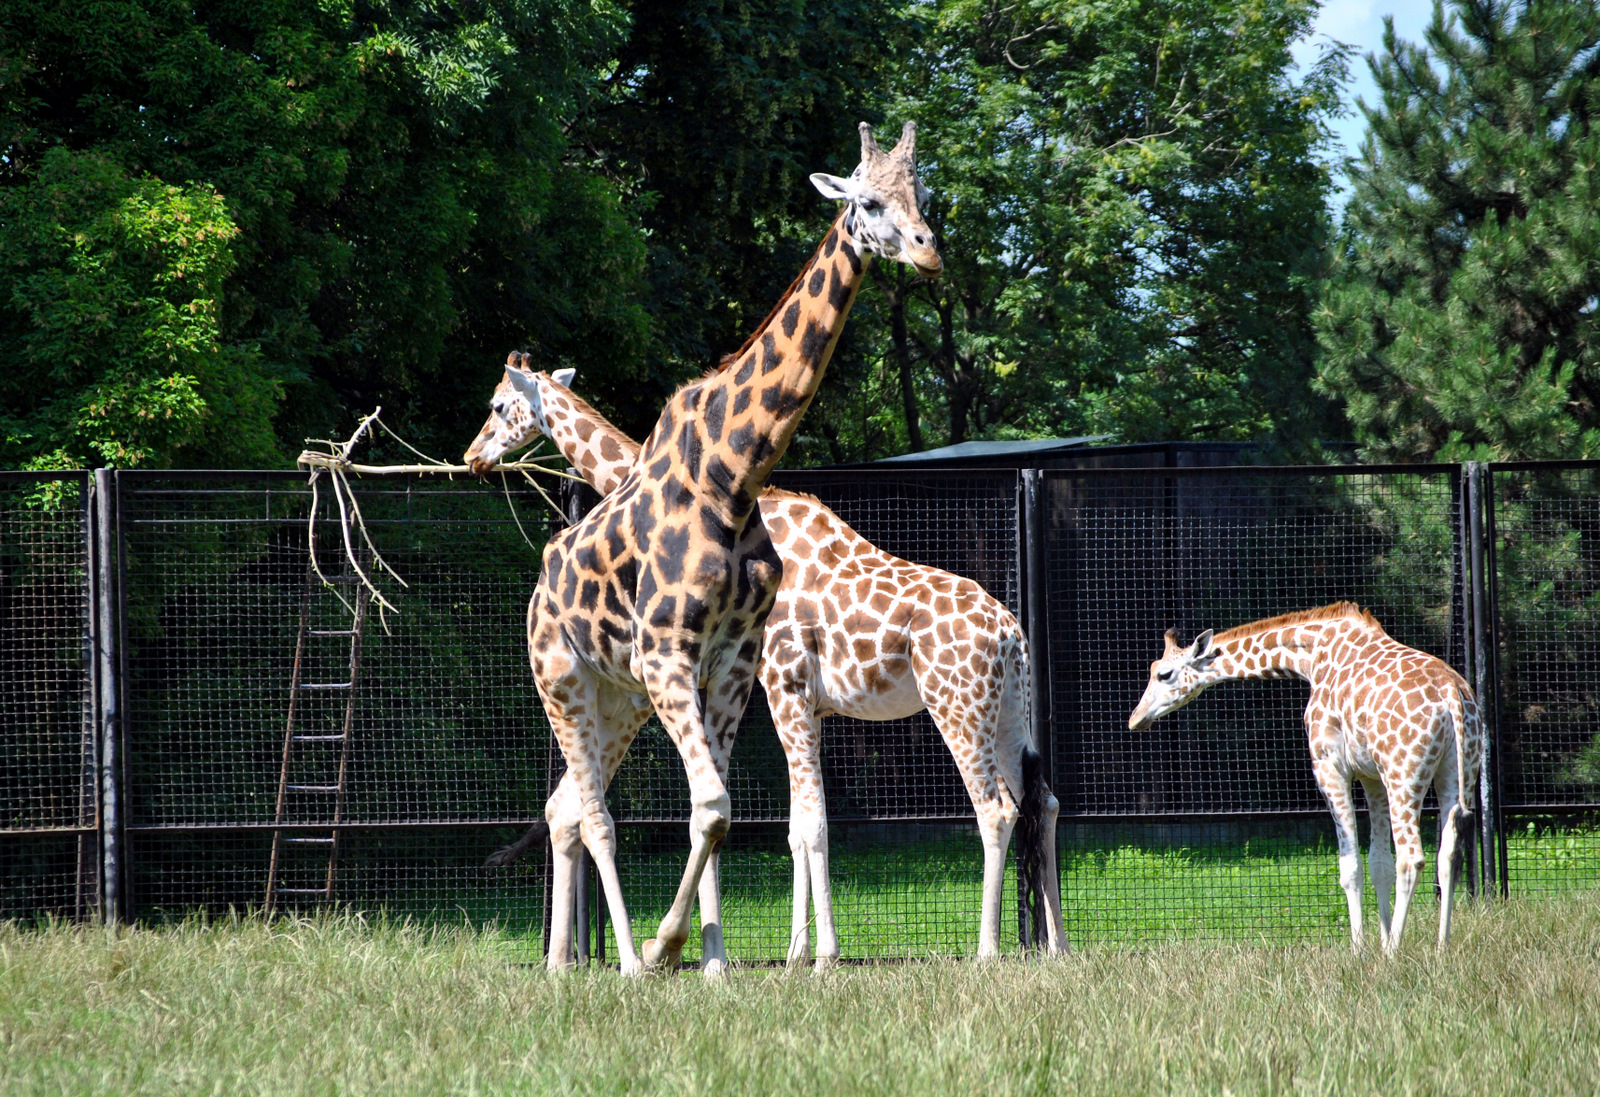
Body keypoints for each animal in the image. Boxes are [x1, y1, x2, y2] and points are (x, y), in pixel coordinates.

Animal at [466, 360, 1067, 967]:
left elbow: (811, 824)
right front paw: (797, 953)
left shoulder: (781, 683)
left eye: (497, 405)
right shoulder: (798, 699)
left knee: (995, 810)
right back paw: (1058, 946)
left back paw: (987, 951)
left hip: (957, 705)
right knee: (1043, 801)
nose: (473, 455)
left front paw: (820, 956)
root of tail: (1011, 633)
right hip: (1007, 710)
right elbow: (797, 827)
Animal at [489, 122, 941, 976]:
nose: (930, 252)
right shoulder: (675, 654)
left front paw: (712, 958)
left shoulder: (734, 661)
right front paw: (670, 947)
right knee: (589, 812)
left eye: (920, 195)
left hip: (620, 696)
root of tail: (539, 585)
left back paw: (570, 959)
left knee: (570, 807)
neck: (733, 473)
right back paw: (614, 960)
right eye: (868, 201)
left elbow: (728, 814)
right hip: (563, 678)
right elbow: (715, 807)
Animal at [1127, 602, 1484, 953]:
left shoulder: (1330, 766)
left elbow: (1350, 866)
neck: (1312, 656)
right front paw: (1381, 944)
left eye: (1163, 674)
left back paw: (1397, 951)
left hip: (1404, 775)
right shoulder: (1371, 776)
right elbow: (1378, 862)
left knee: (1412, 858)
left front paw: (1361, 950)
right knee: (1448, 855)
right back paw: (1441, 947)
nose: (1135, 718)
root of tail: (1452, 695)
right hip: (1456, 773)